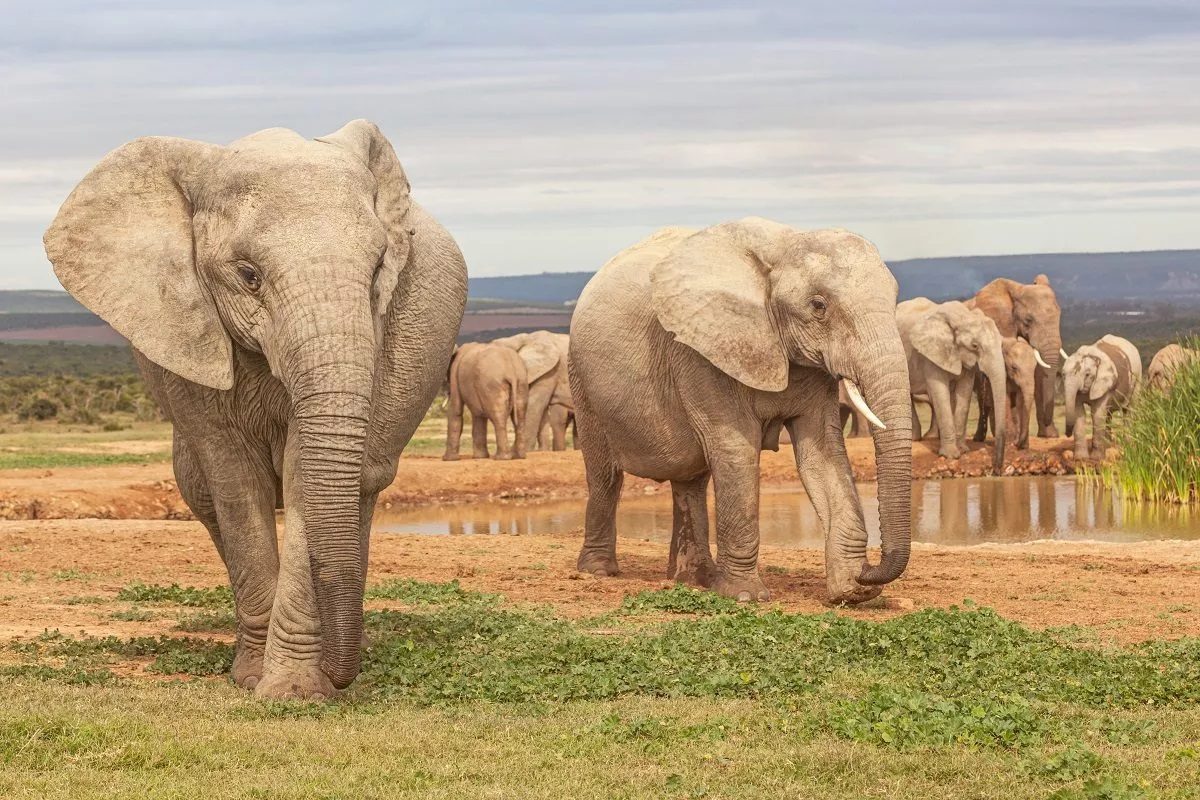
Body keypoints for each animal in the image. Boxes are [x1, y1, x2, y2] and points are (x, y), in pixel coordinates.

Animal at [42, 120, 465, 700]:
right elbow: (235, 482)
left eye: (380, 269)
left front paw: (295, 691)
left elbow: (307, 477)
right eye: (248, 275)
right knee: (203, 494)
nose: (343, 675)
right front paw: (253, 680)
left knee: (364, 485)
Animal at [568, 215, 907, 604]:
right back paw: (598, 571)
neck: (784, 245)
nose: (871, 571)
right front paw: (746, 596)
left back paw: (695, 578)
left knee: (690, 480)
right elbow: (736, 449)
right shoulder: (702, 352)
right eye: (818, 305)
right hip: (582, 379)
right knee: (606, 476)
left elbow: (823, 454)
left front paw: (852, 593)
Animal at [897, 297, 1008, 472]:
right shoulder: (931, 353)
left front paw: (963, 450)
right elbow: (939, 391)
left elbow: (965, 392)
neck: (963, 317)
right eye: (974, 346)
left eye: (1001, 343)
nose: (996, 470)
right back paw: (915, 439)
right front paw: (950, 456)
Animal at [969, 275, 1065, 438]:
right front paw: (1009, 436)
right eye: (1028, 320)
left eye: (1059, 316)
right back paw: (979, 438)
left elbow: (1039, 373)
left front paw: (1049, 435)